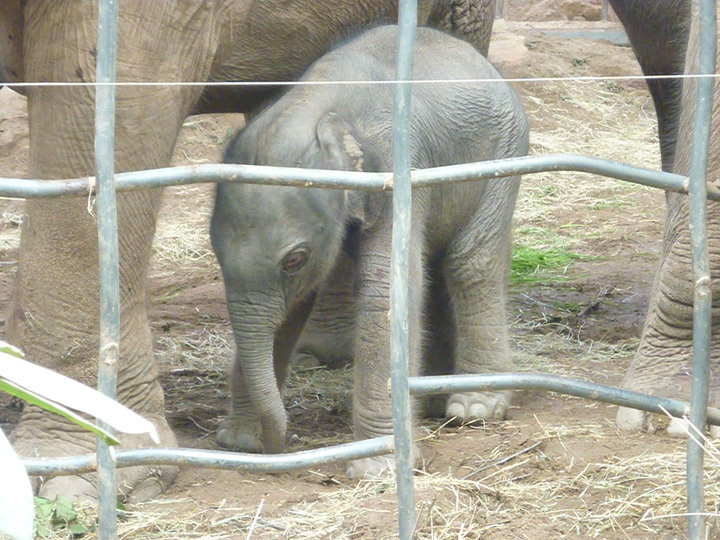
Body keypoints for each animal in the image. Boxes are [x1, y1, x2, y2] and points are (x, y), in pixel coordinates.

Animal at [210, 25, 529, 478]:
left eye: (294, 260)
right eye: (216, 255)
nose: (278, 446)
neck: (318, 106)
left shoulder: (395, 170)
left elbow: (387, 291)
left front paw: (378, 467)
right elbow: (297, 305)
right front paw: (239, 441)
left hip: (504, 154)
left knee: (469, 263)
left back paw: (474, 408)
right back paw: (433, 403)